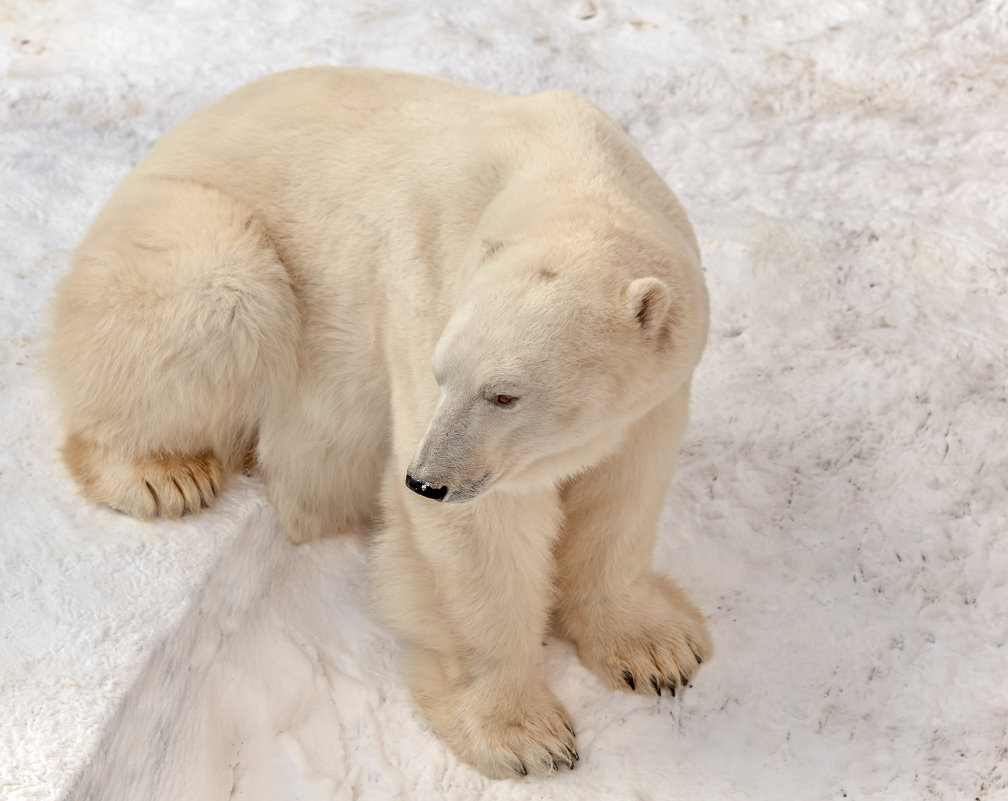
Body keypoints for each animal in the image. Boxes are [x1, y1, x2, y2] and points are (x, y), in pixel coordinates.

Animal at [45, 65, 709, 781]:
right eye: (445, 374)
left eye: (505, 395)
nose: (426, 481)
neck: (568, 174)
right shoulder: (430, 290)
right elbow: (480, 536)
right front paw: (525, 736)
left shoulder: (657, 389)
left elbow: (621, 493)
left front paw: (658, 653)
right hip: (189, 232)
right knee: (221, 292)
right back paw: (162, 475)